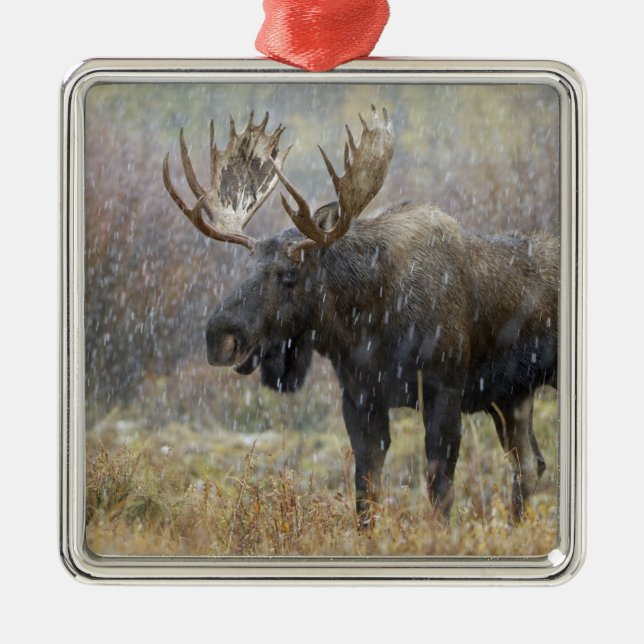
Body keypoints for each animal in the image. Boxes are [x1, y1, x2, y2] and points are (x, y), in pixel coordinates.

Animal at [163, 107, 558, 529]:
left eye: (289, 275)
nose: (218, 337)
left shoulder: (444, 388)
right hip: (513, 396)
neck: (368, 321)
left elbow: (439, 488)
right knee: (530, 464)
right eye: (247, 267)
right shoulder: (359, 397)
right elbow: (365, 492)